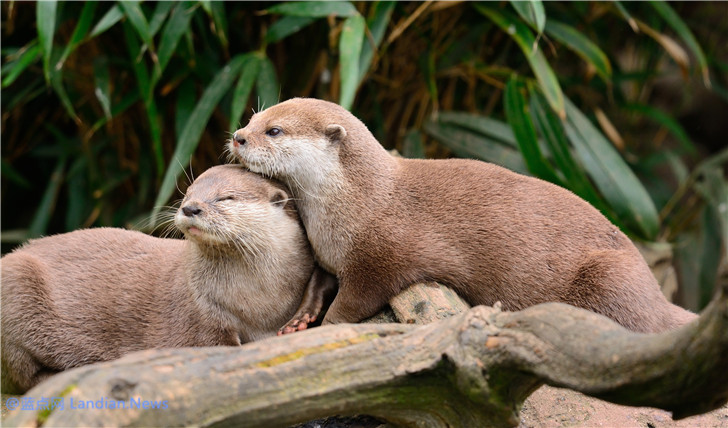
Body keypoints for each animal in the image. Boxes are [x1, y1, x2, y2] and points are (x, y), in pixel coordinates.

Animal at [0, 166, 336, 392]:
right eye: (188, 193)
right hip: (15, 289)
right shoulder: (198, 317)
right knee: (22, 375)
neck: (257, 303)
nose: (191, 208)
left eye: (225, 197)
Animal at [228, 98, 692, 334]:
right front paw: (301, 318)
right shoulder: (328, 253)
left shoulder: (379, 258)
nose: (238, 136)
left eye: (274, 130)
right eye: (254, 116)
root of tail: (657, 295)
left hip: (610, 275)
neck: (356, 205)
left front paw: (327, 326)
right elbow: (317, 283)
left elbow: (355, 301)